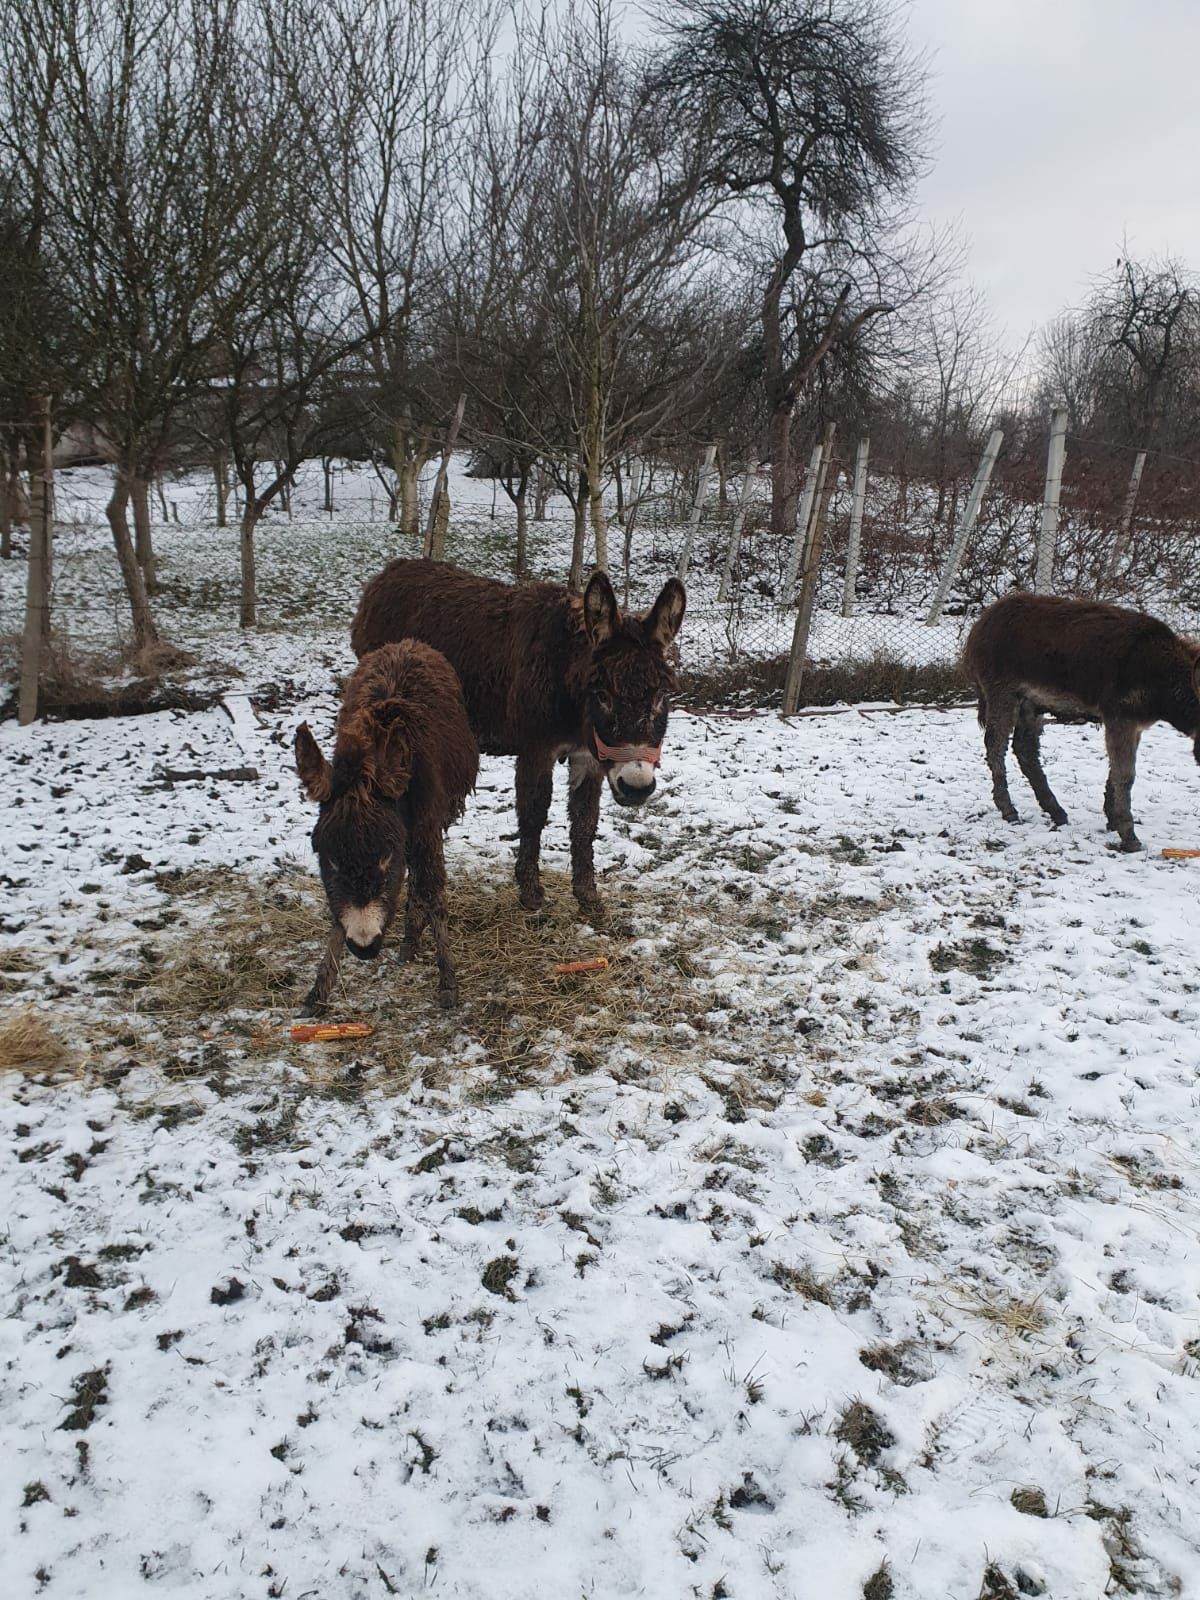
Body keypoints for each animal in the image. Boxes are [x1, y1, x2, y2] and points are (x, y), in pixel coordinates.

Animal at [294, 640, 476, 1004]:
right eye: (325, 855)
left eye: (387, 854)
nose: (364, 947)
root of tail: (408, 643)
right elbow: (337, 913)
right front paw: (319, 990)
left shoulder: (425, 829)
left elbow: (435, 893)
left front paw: (448, 979)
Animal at [966, 592, 1200, 851]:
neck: (1163, 676)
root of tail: (984, 619)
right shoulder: (1120, 717)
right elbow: (1125, 775)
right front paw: (1129, 837)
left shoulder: (1132, 725)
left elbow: (1115, 772)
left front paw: (1112, 820)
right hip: (1003, 694)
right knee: (996, 748)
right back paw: (1009, 810)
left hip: (1030, 704)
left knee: (1025, 750)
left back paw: (1055, 811)